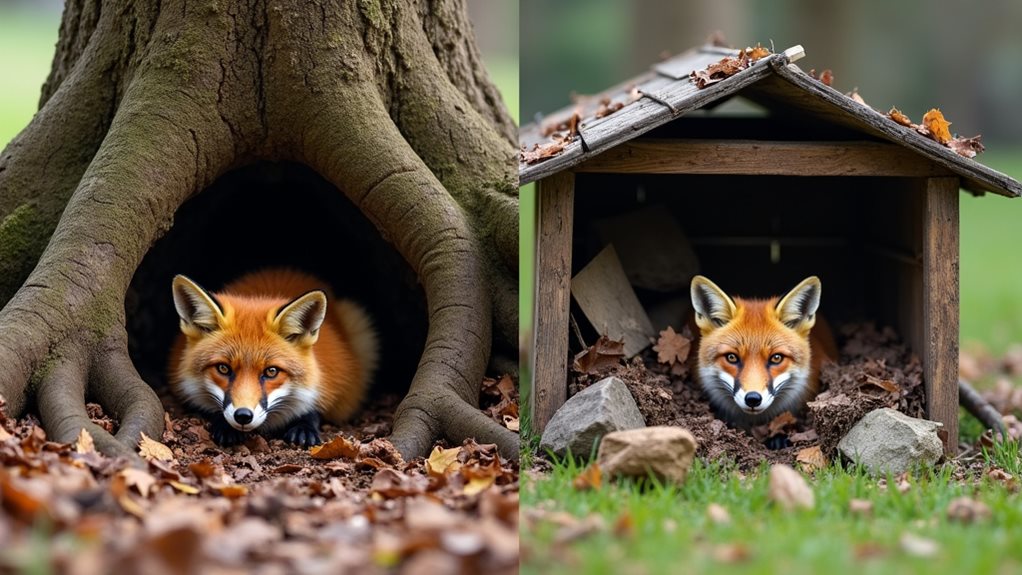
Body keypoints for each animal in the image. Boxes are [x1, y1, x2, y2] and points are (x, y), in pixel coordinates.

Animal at [168, 269, 379, 448]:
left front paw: (304, 426)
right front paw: (225, 426)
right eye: (223, 368)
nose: (243, 416)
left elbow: (314, 408)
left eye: (271, 371)